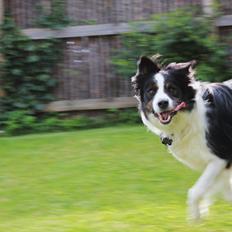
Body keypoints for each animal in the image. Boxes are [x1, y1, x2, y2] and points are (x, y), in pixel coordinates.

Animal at [131, 56, 232, 221]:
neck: (188, 118)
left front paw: (196, 216)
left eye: (172, 88)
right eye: (151, 91)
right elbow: (219, 188)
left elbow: (196, 190)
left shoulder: (221, 157)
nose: (162, 103)